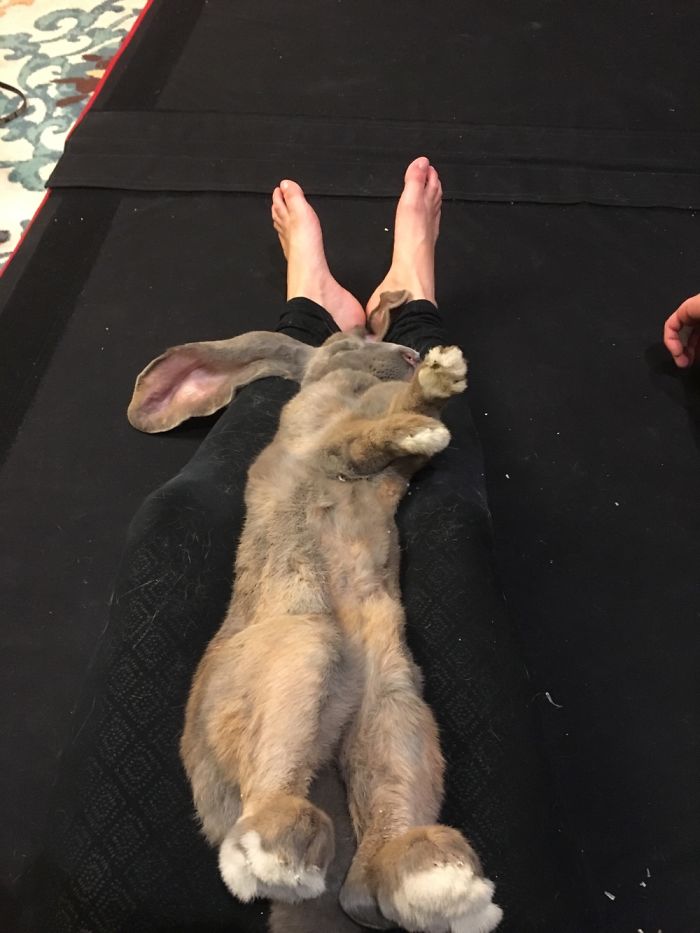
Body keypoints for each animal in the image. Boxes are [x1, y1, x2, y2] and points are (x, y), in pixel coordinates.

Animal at [128, 291, 503, 933]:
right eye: (344, 341)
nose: (410, 354)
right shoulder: (324, 440)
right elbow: (360, 440)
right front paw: (432, 396)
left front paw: (433, 388)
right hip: (305, 647)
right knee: (265, 809)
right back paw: (280, 851)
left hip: (392, 706)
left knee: (368, 872)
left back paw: (439, 883)